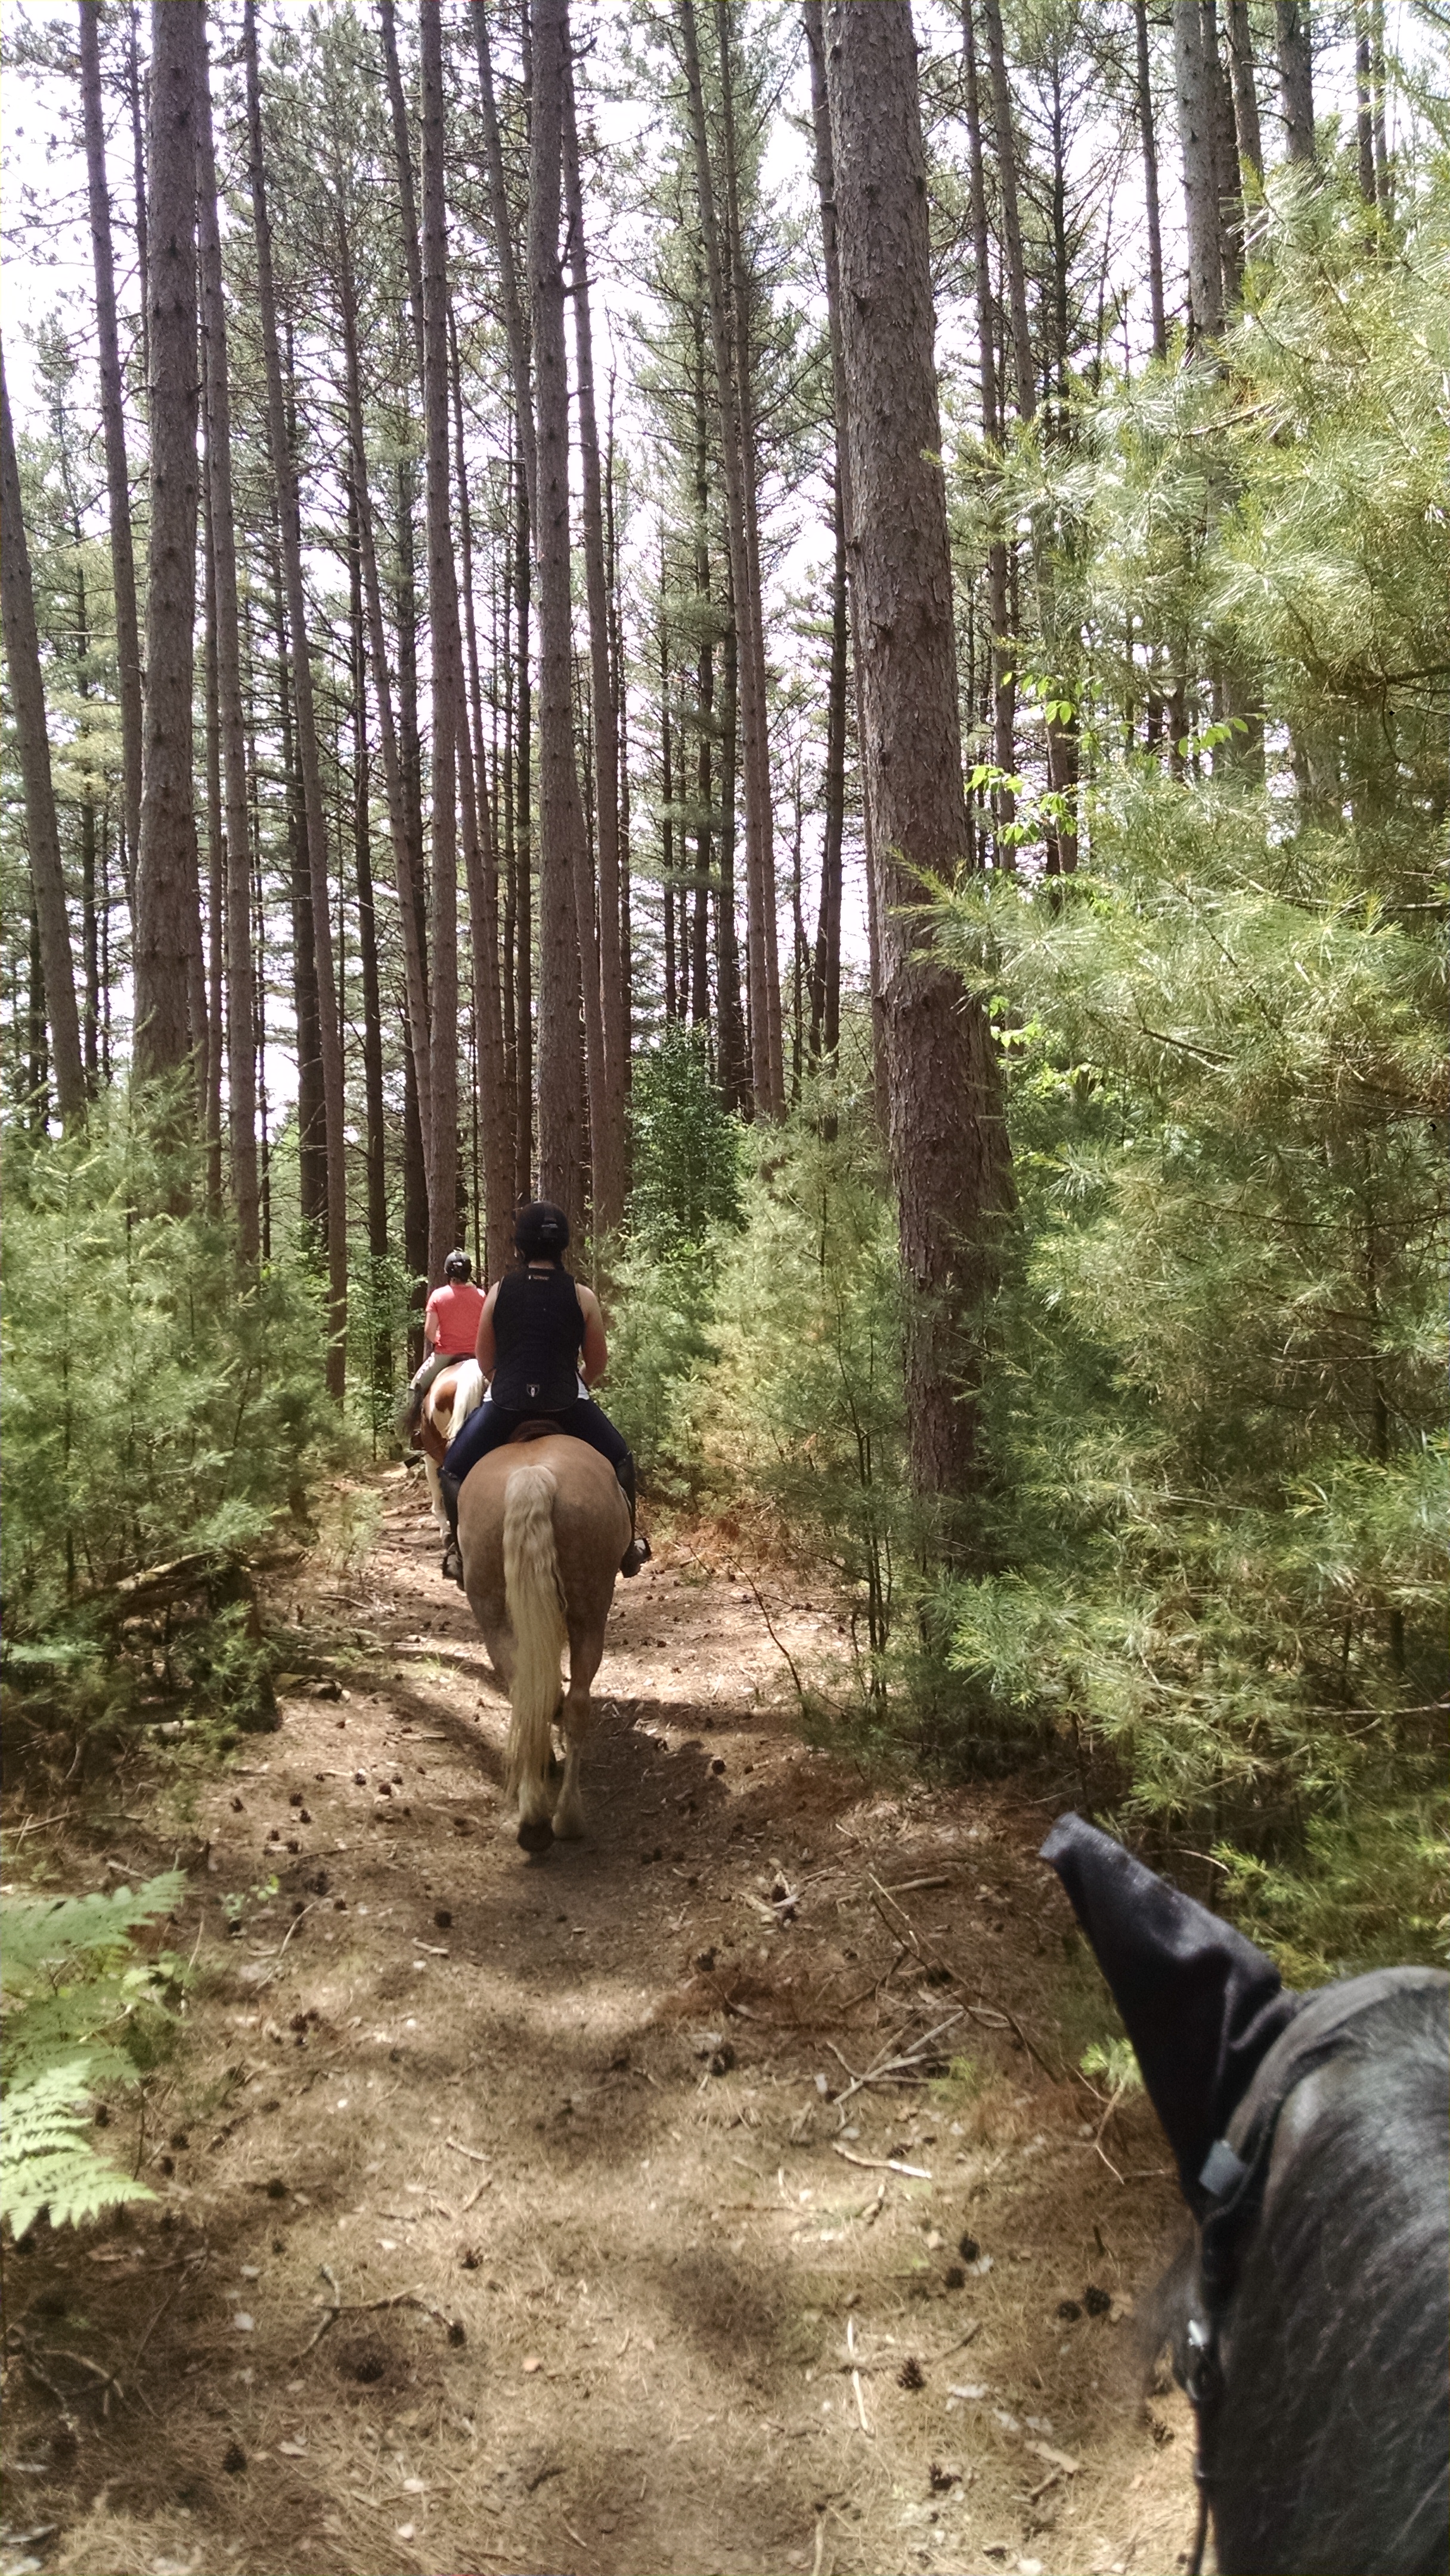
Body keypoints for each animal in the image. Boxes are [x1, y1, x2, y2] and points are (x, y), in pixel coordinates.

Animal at [456, 1432, 630, 1856]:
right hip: (586, 1611)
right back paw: (555, 1818)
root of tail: (532, 1476)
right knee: (570, 1701)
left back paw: (543, 1818)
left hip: (499, 1617)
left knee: (535, 1696)